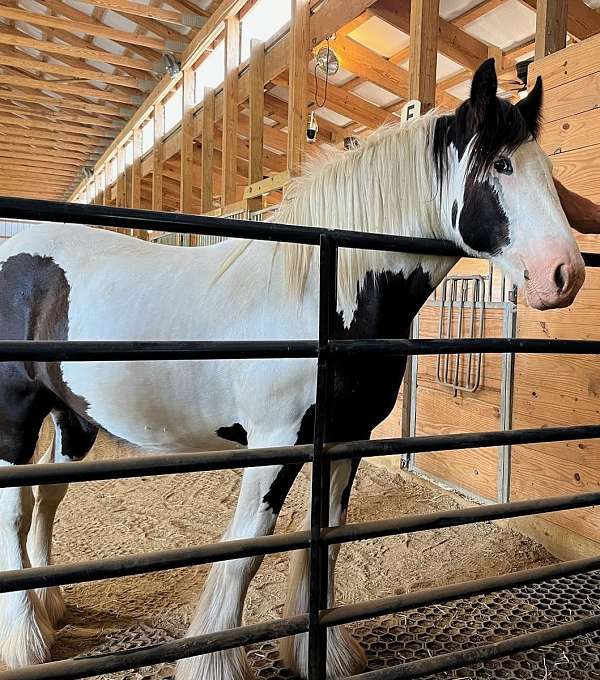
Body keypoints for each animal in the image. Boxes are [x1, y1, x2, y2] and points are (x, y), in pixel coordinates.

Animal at [0, 59, 584, 680]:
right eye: (500, 165)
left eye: (547, 171)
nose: (565, 274)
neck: (324, 297)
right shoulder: (276, 442)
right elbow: (248, 549)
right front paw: (215, 661)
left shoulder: (345, 439)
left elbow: (325, 540)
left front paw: (321, 654)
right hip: (15, 416)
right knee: (13, 509)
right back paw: (25, 638)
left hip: (72, 417)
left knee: (46, 497)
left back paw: (48, 604)